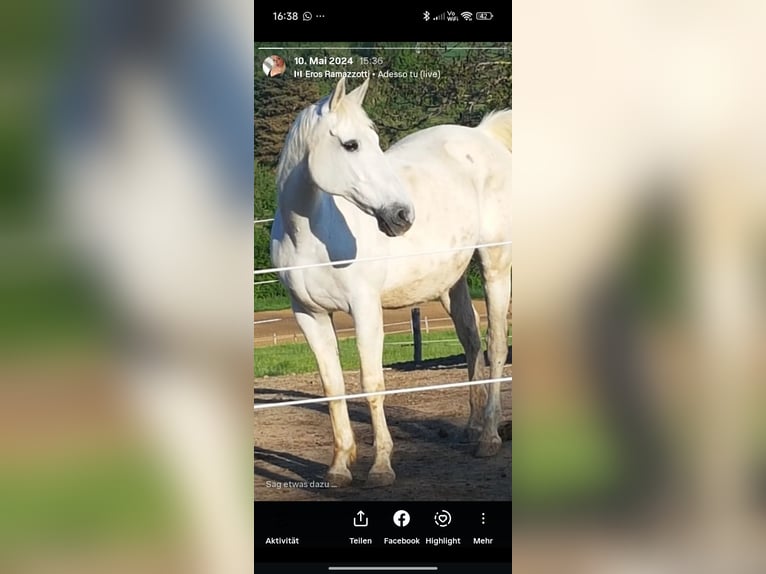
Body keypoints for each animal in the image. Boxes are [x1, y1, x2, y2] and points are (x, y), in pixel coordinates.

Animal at [270, 77, 512, 487]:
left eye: (374, 139)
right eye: (351, 144)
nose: (402, 215)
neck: (311, 235)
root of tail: (484, 135)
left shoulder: (365, 309)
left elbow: (372, 383)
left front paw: (381, 466)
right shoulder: (308, 315)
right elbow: (332, 386)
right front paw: (339, 466)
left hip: (495, 264)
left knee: (495, 346)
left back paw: (490, 438)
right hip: (451, 283)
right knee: (471, 339)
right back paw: (471, 428)